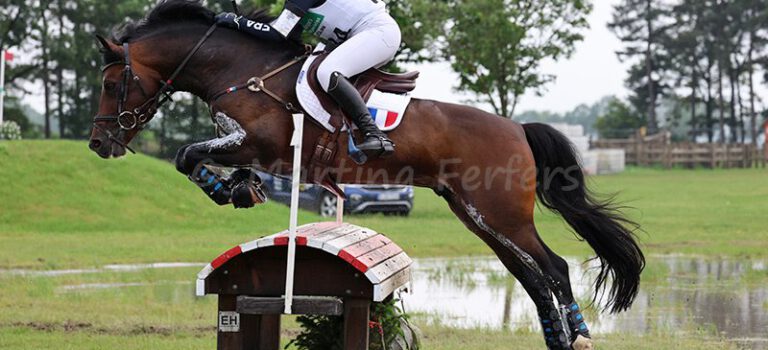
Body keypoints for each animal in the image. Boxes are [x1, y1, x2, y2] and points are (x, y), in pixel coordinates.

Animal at [87, 1, 644, 348]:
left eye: (113, 84)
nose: (98, 144)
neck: (239, 71)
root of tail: (517, 128)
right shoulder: (259, 152)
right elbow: (200, 158)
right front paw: (240, 188)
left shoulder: (264, 144)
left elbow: (186, 154)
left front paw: (229, 190)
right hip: (477, 216)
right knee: (531, 278)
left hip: (502, 215)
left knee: (555, 269)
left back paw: (579, 338)